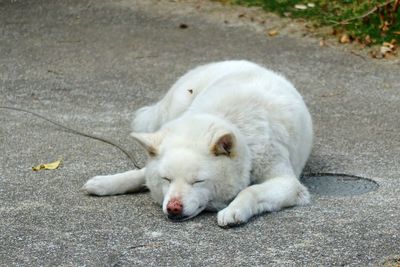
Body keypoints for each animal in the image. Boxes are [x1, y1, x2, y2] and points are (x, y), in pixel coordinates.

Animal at [83, 59, 314, 227]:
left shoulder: (289, 184)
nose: (173, 208)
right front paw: (106, 182)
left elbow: (250, 190)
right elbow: (139, 173)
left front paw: (234, 210)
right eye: (166, 179)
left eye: (198, 181)